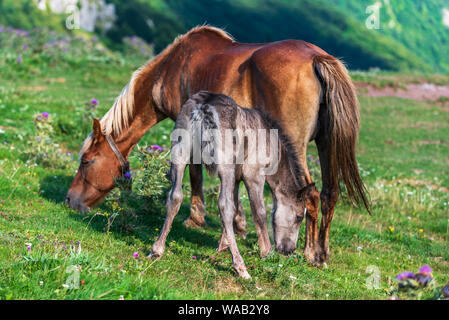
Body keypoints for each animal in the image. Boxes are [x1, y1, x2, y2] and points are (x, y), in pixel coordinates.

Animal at [65, 25, 368, 264]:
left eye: (86, 161)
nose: (69, 199)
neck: (171, 67)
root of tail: (318, 57)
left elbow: (196, 175)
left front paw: (197, 218)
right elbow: (233, 190)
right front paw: (239, 227)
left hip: (295, 146)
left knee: (311, 195)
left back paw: (308, 252)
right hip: (325, 145)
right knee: (329, 194)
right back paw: (322, 253)